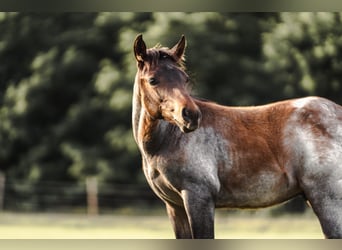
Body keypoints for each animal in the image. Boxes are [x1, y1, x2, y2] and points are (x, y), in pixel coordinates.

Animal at [131, 33, 342, 238]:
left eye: (185, 79)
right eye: (152, 80)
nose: (191, 115)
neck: (168, 141)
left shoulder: (198, 197)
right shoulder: (175, 206)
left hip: (327, 201)